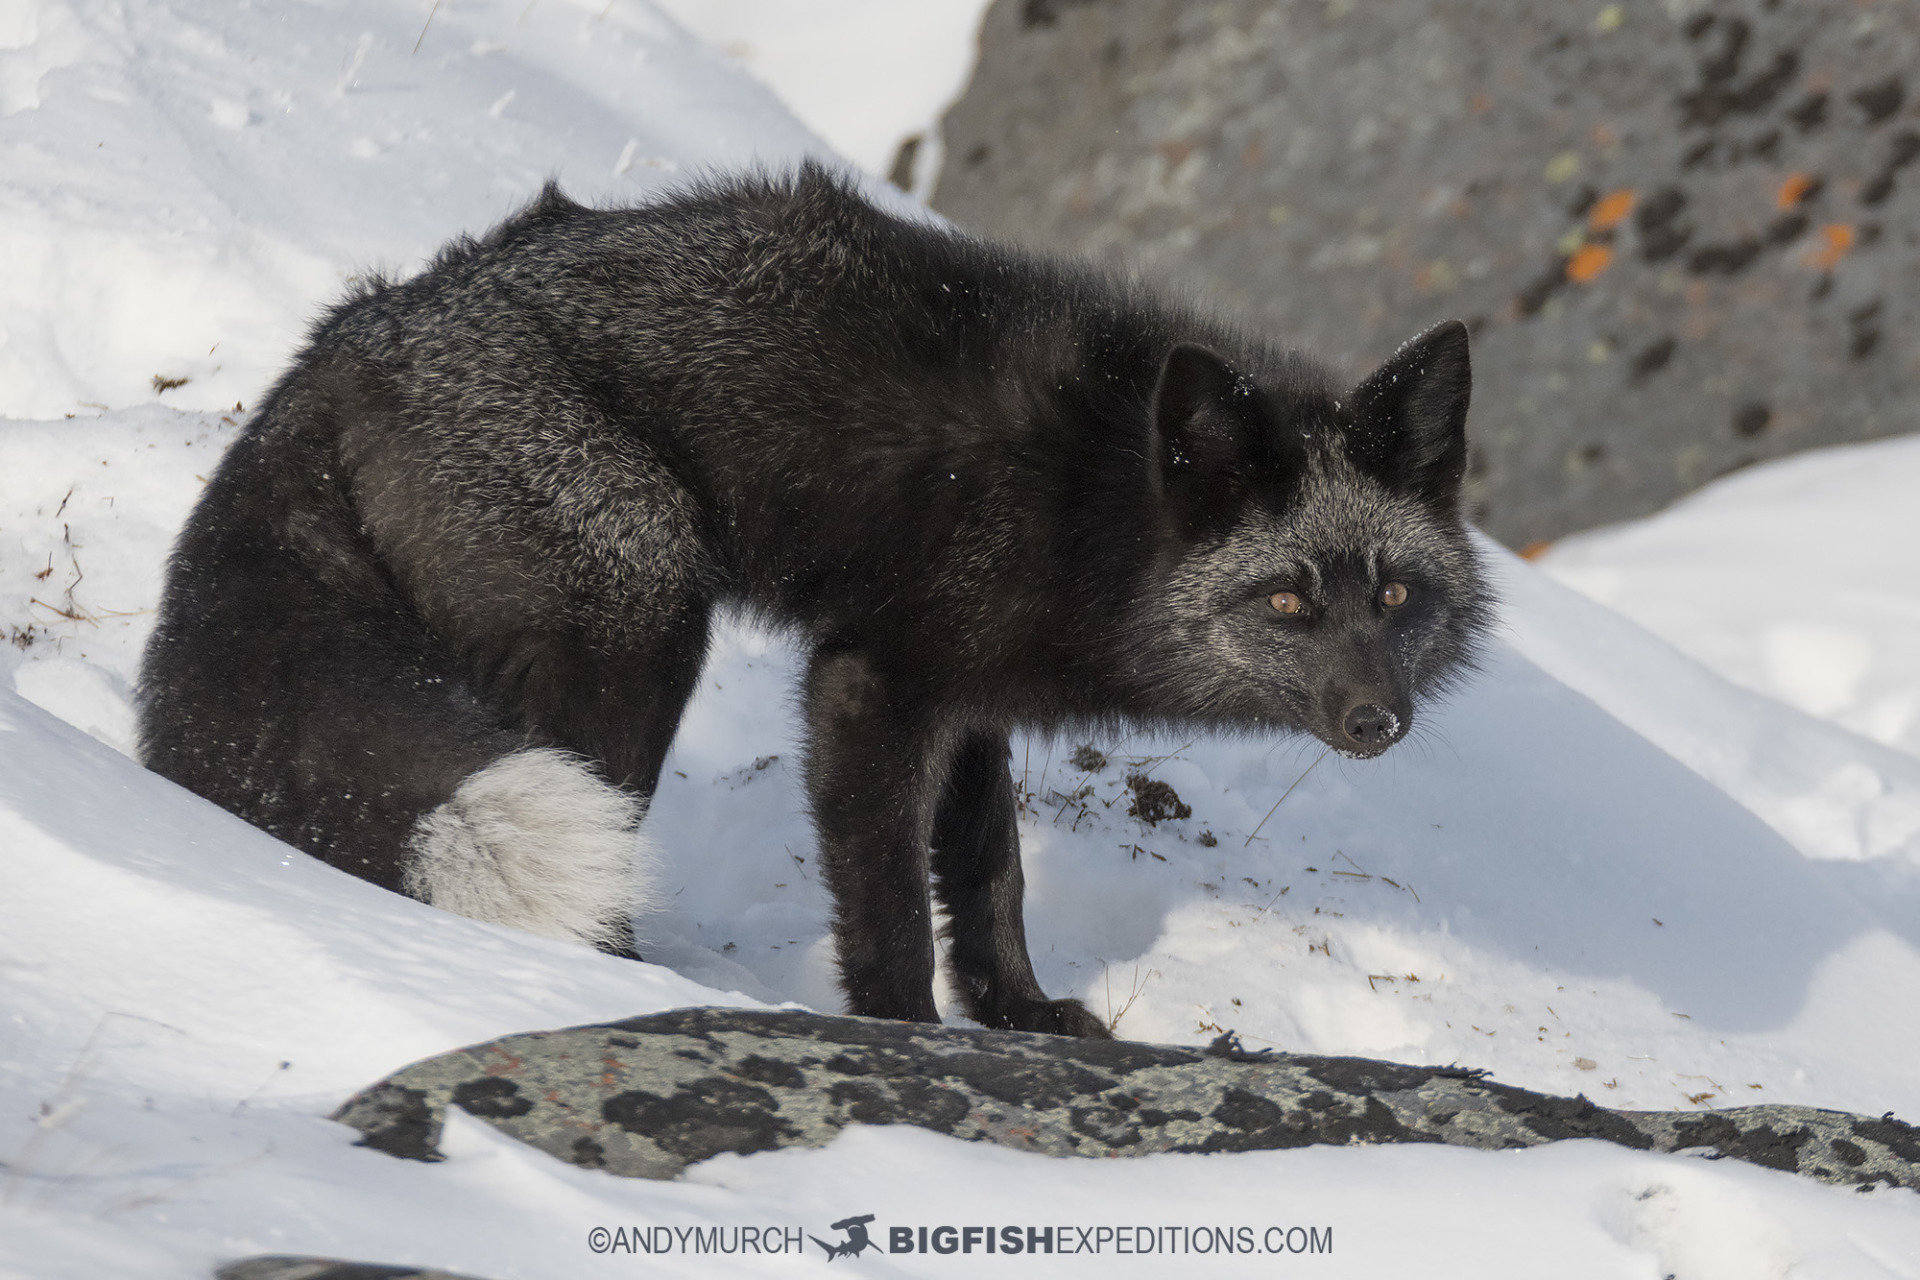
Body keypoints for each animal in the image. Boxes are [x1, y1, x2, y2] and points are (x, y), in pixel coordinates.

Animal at [138, 163, 1491, 1039]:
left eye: (1394, 592)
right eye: (1286, 602)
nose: (1379, 720)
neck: (1091, 502)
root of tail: (350, 335)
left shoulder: (964, 689)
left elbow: (988, 871)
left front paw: (1020, 1011)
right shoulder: (866, 684)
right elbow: (889, 898)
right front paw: (909, 1037)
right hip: (639, 618)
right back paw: (634, 987)